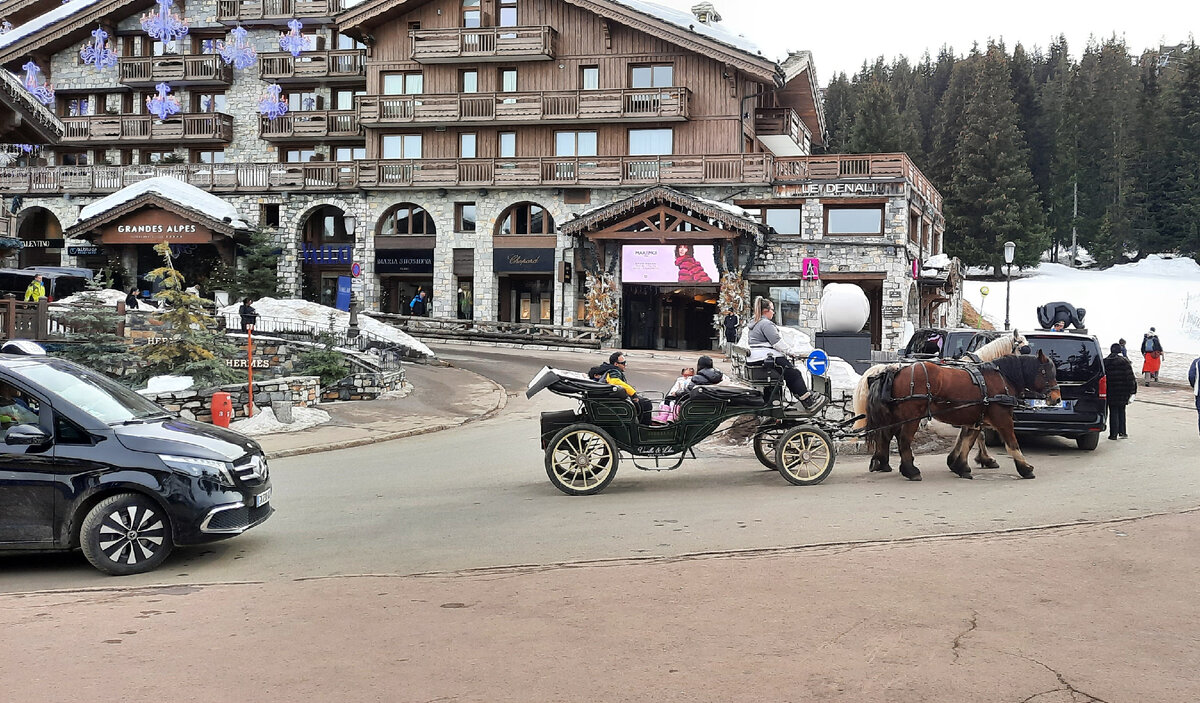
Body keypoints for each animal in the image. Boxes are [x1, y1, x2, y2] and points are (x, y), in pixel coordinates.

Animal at [864, 352, 1060, 479]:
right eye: (1045, 372)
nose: (1057, 398)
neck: (1002, 379)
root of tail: (896, 371)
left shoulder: (976, 419)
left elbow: (967, 441)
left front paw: (960, 466)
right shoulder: (1003, 420)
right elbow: (1012, 445)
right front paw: (1025, 469)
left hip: (898, 416)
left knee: (887, 435)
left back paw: (883, 463)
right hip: (912, 416)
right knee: (903, 440)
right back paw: (910, 471)